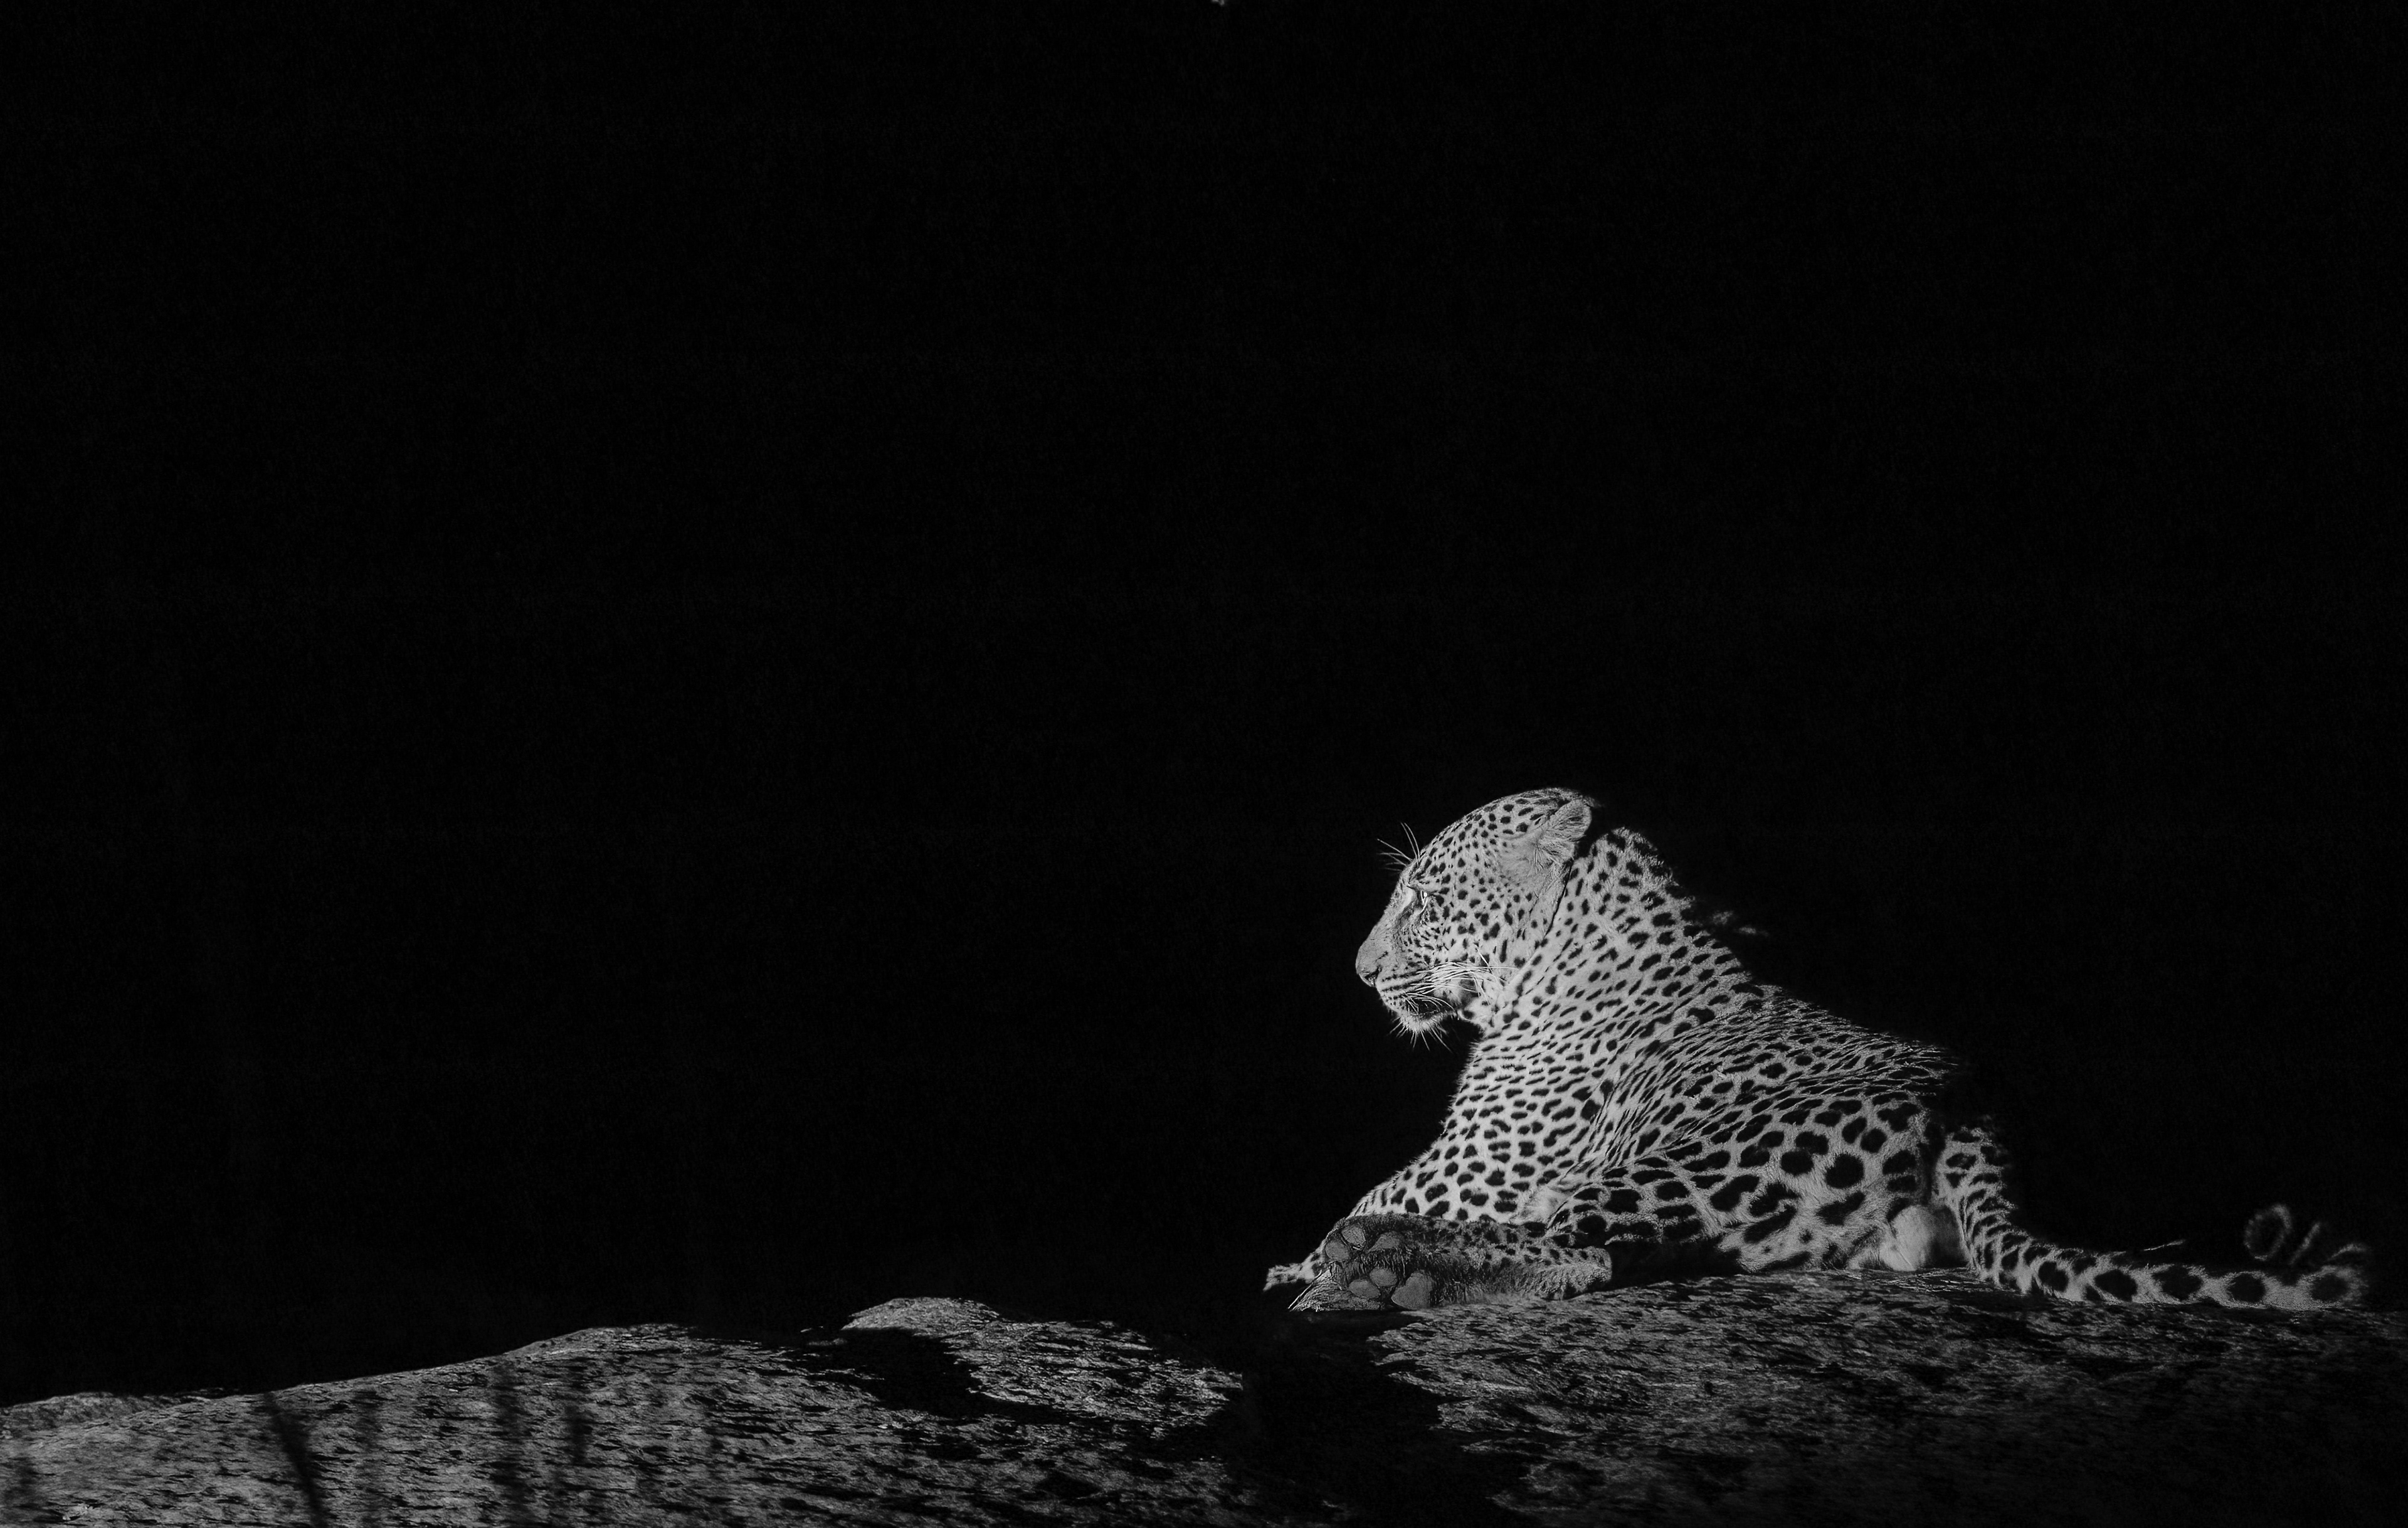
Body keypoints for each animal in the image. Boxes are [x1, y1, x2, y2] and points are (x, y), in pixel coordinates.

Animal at [1267, 788, 2371, 1313]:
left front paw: (1304, 1260)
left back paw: (1384, 1269)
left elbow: (1372, 1194)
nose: (1362, 970)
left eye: (1425, 900)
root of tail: (1978, 1107)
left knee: (1581, 1249)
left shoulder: (1479, 1166)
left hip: (1694, 1159)